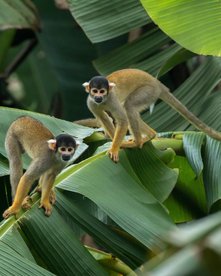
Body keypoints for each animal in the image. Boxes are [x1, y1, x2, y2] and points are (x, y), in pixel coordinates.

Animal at [83, 69, 221, 163]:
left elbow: (122, 120)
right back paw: (150, 135)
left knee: (129, 106)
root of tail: (158, 84)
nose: (98, 97)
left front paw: (115, 148)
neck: (104, 100)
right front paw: (115, 142)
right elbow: (104, 118)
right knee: (128, 108)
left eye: (102, 91)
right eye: (95, 91)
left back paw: (137, 142)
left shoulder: (111, 99)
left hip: (149, 91)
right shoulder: (91, 103)